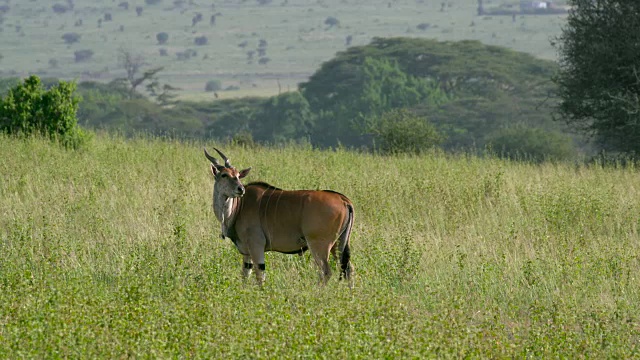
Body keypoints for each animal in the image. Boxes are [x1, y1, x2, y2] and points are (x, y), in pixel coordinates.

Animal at [205, 148, 356, 286]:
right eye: (224, 175)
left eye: (237, 175)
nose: (240, 189)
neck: (239, 207)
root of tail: (344, 200)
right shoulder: (246, 253)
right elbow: (245, 275)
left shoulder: (256, 246)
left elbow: (260, 275)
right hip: (338, 244)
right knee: (349, 269)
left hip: (320, 245)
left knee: (326, 271)